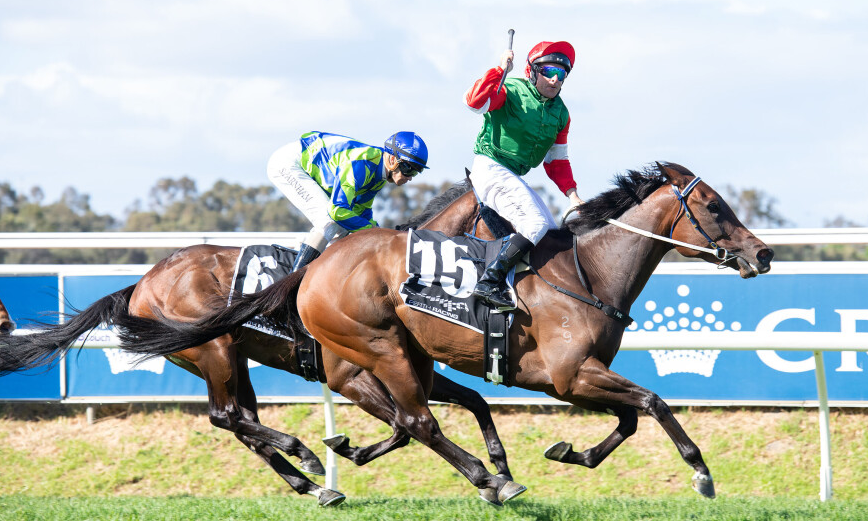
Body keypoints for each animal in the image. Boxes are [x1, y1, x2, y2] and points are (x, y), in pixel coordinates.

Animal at [0, 180, 517, 506]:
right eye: (501, 221)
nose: (514, 272)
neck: (385, 277)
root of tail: (141, 285)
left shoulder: (406, 370)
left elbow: (461, 404)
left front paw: (498, 472)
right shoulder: (349, 376)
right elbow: (407, 424)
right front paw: (486, 478)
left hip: (229, 357)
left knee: (242, 422)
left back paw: (313, 484)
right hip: (214, 351)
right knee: (225, 415)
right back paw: (303, 455)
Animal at [110, 162, 773, 500]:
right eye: (714, 207)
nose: (763, 254)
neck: (586, 273)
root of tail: (141, 284)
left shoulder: (572, 376)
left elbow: (630, 418)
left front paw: (570, 452)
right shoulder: (566, 376)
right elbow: (653, 402)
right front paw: (701, 472)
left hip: (354, 359)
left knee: (249, 420)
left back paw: (317, 476)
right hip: (276, 351)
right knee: (400, 420)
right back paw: (481, 480)